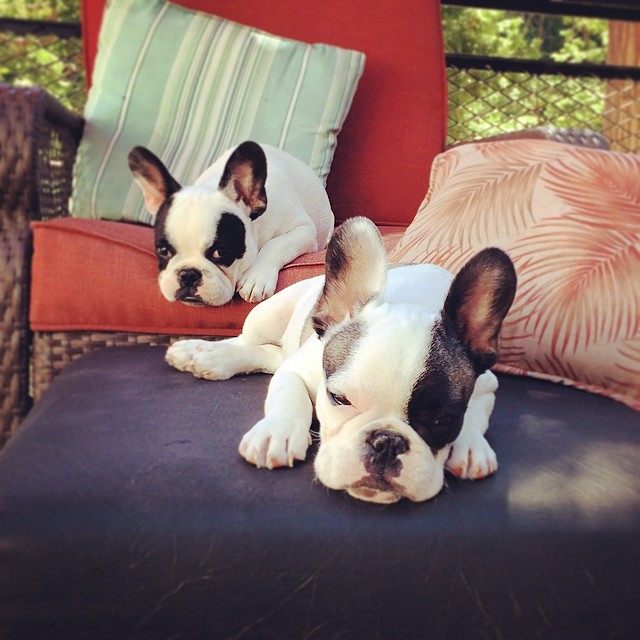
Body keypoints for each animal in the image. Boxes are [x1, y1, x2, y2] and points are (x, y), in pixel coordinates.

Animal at [127, 141, 332, 306]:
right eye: (163, 250)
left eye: (221, 252)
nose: (188, 274)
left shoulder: (303, 229)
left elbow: (276, 244)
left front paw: (256, 277)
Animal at [164, 219, 516, 504]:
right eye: (339, 399)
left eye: (445, 420)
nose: (387, 442)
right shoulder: (298, 370)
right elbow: (288, 398)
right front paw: (278, 432)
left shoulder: (486, 384)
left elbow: (477, 414)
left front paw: (470, 447)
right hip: (268, 312)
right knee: (247, 342)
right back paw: (204, 354)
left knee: (270, 355)